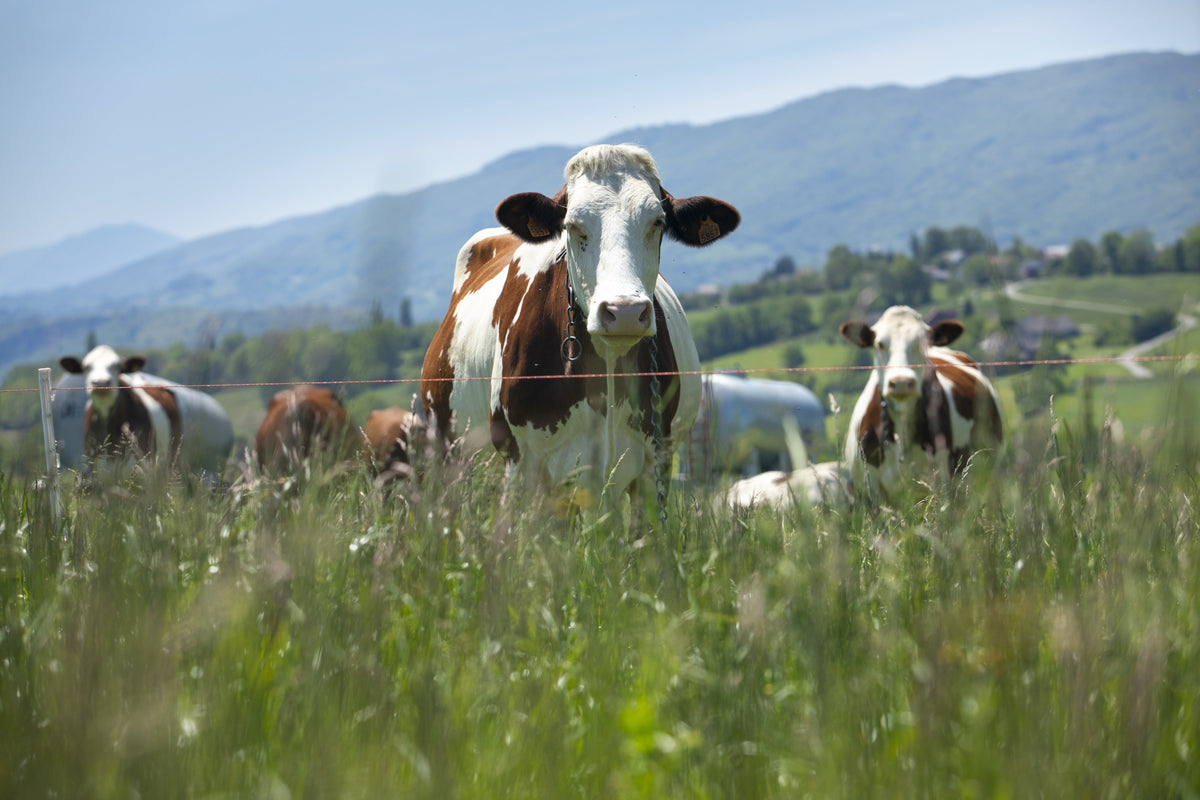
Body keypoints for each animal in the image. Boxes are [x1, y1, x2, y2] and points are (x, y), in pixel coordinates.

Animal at [420, 143, 740, 522]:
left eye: (658, 222)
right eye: (573, 225)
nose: (624, 312)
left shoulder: (654, 461)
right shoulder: (521, 463)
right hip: (449, 455)